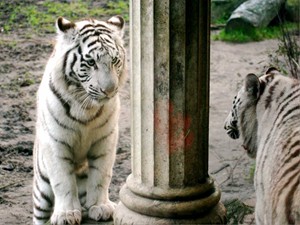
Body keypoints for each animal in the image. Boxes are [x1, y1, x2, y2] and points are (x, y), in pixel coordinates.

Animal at [32, 16, 126, 225]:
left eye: (115, 60)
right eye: (90, 62)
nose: (110, 90)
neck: (87, 108)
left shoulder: (106, 139)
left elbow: (101, 174)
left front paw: (101, 206)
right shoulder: (55, 143)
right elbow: (63, 181)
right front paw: (66, 214)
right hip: (41, 189)